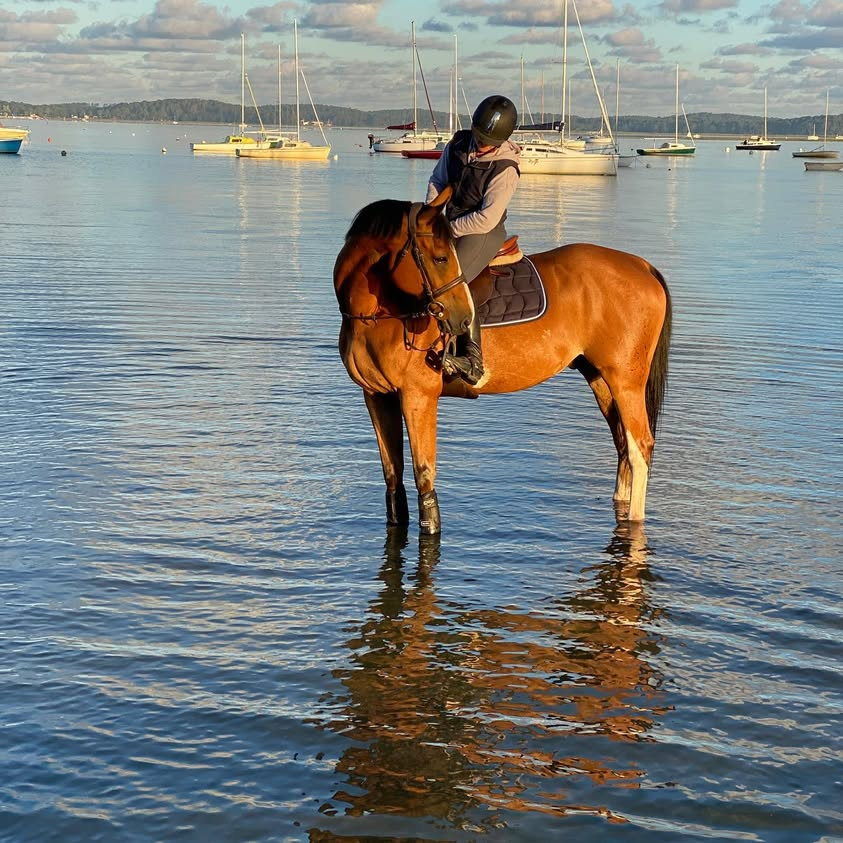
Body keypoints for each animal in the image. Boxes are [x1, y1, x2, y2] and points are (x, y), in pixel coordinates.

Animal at [334, 186, 672, 534]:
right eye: (441, 258)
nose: (461, 318)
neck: (378, 315)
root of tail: (641, 265)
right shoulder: (376, 396)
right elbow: (392, 478)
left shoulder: (418, 396)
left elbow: (424, 478)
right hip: (600, 378)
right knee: (622, 443)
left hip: (626, 381)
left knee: (640, 446)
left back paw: (635, 519)